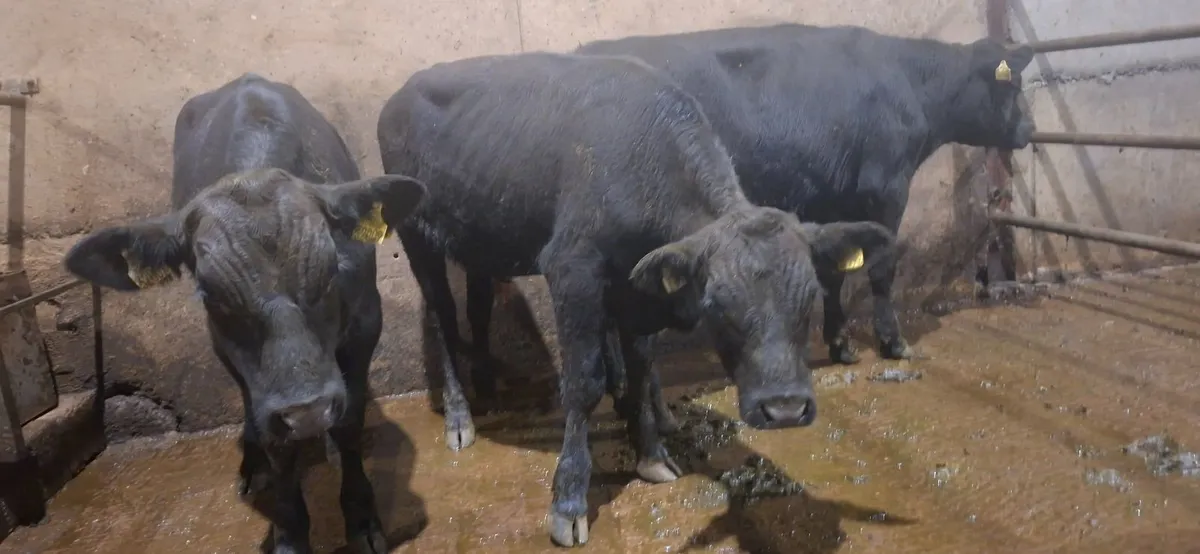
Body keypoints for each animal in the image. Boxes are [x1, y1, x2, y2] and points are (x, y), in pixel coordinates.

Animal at [62, 73, 427, 554]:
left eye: (332, 269)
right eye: (209, 294)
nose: (308, 411)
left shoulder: (367, 320)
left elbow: (349, 422)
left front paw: (363, 519)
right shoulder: (238, 358)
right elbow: (276, 441)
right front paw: (289, 532)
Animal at [376, 51, 896, 547]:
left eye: (810, 296)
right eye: (717, 304)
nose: (784, 408)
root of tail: (399, 93)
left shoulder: (639, 285)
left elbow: (643, 364)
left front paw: (650, 453)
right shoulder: (573, 269)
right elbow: (583, 384)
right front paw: (569, 501)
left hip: (482, 237)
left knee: (479, 305)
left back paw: (487, 388)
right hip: (417, 235)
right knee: (443, 316)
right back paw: (459, 416)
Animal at [574, 23, 1036, 366]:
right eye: (1013, 87)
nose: (1030, 130)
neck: (908, 81)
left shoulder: (833, 199)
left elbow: (833, 272)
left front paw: (840, 344)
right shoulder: (885, 190)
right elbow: (881, 267)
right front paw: (893, 342)